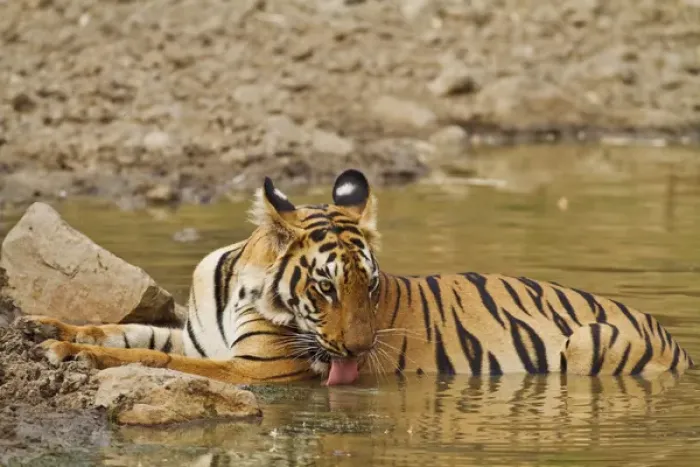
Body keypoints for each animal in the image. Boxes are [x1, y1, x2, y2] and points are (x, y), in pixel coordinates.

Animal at [17, 168, 694, 386]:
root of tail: (676, 339)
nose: (363, 351)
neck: (240, 288)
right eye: (324, 287)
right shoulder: (199, 337)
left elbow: (154, 358)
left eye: (369, 287)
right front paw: (40, 328)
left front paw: (66, 352)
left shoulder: (256, 369)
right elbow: (126, 332)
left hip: (588, 344)